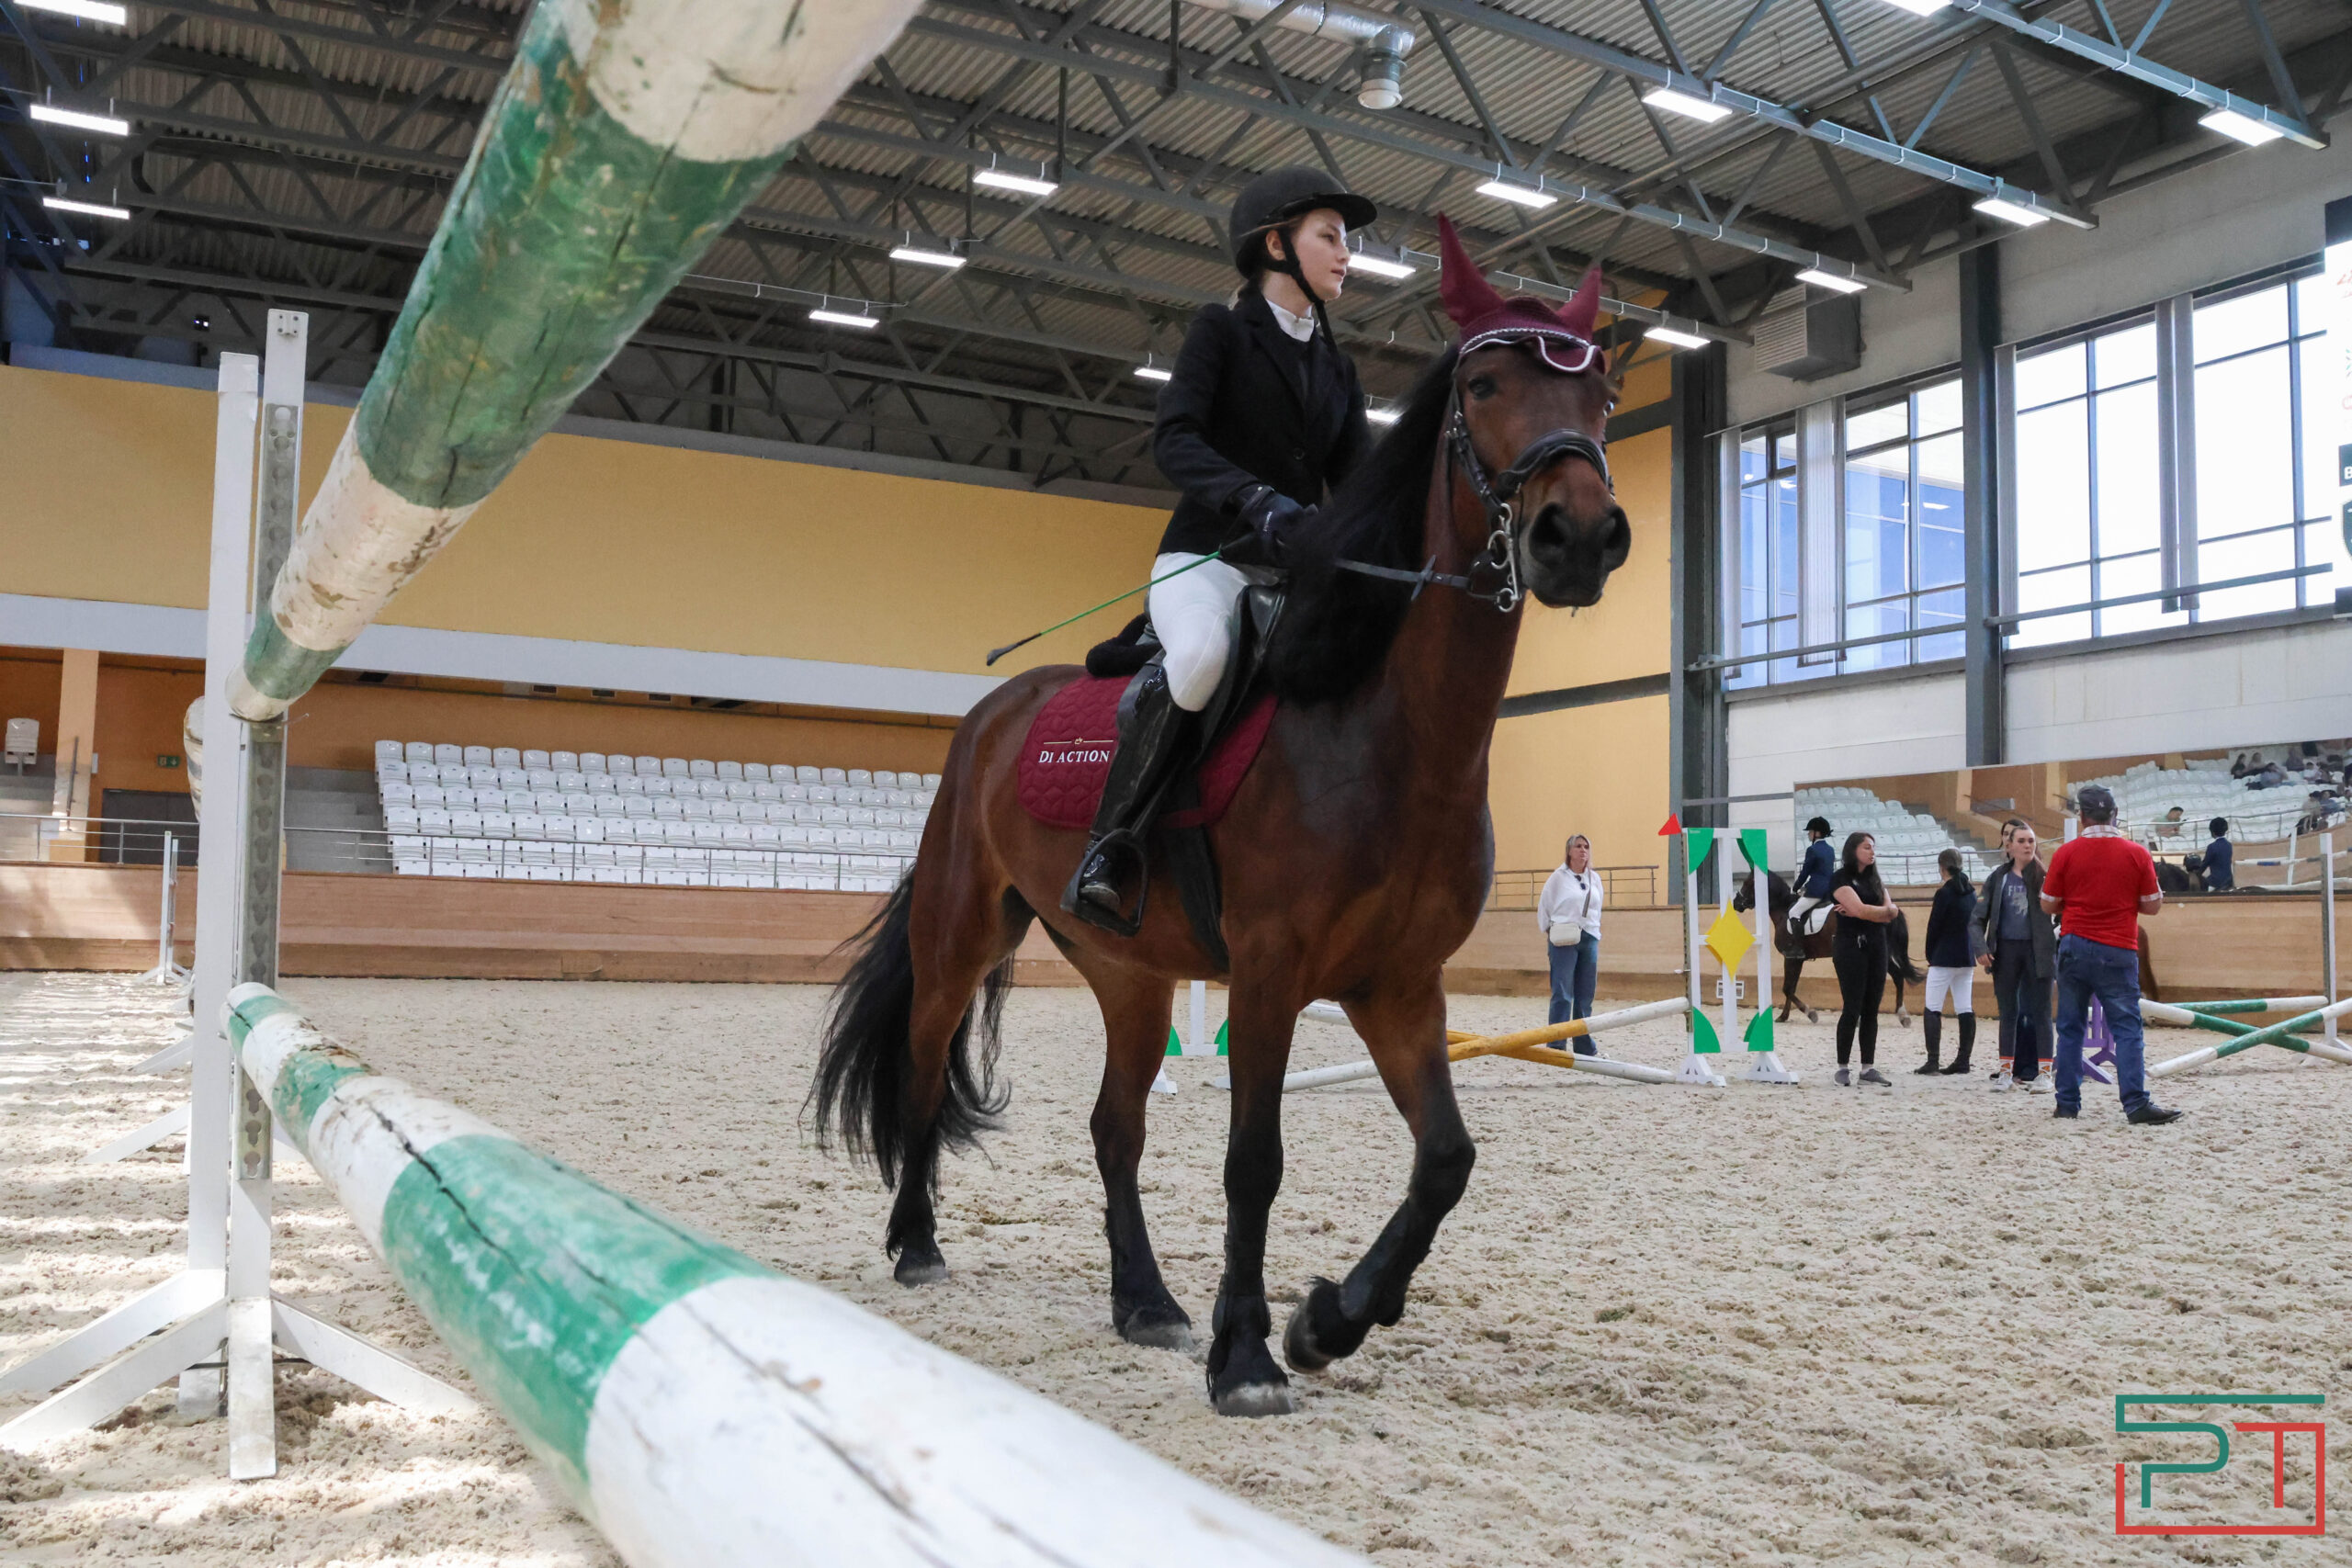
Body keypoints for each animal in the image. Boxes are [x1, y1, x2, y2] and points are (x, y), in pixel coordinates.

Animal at [808, 230, 1636, 1419]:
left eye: (1602, 393)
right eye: (1484, 387)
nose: (1578, 537)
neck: (1383, 730)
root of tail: (992, 712)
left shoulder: (1399, 986)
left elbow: (1446, 1160)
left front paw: (1327, 1321)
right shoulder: (1272, 968)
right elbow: (1257, 1158)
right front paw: (1245, 1354)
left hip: (1131, 972)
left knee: (1115, 1127)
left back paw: (1145, 1303)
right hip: (961, 935)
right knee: (924, 1072)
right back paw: (918, 1245)